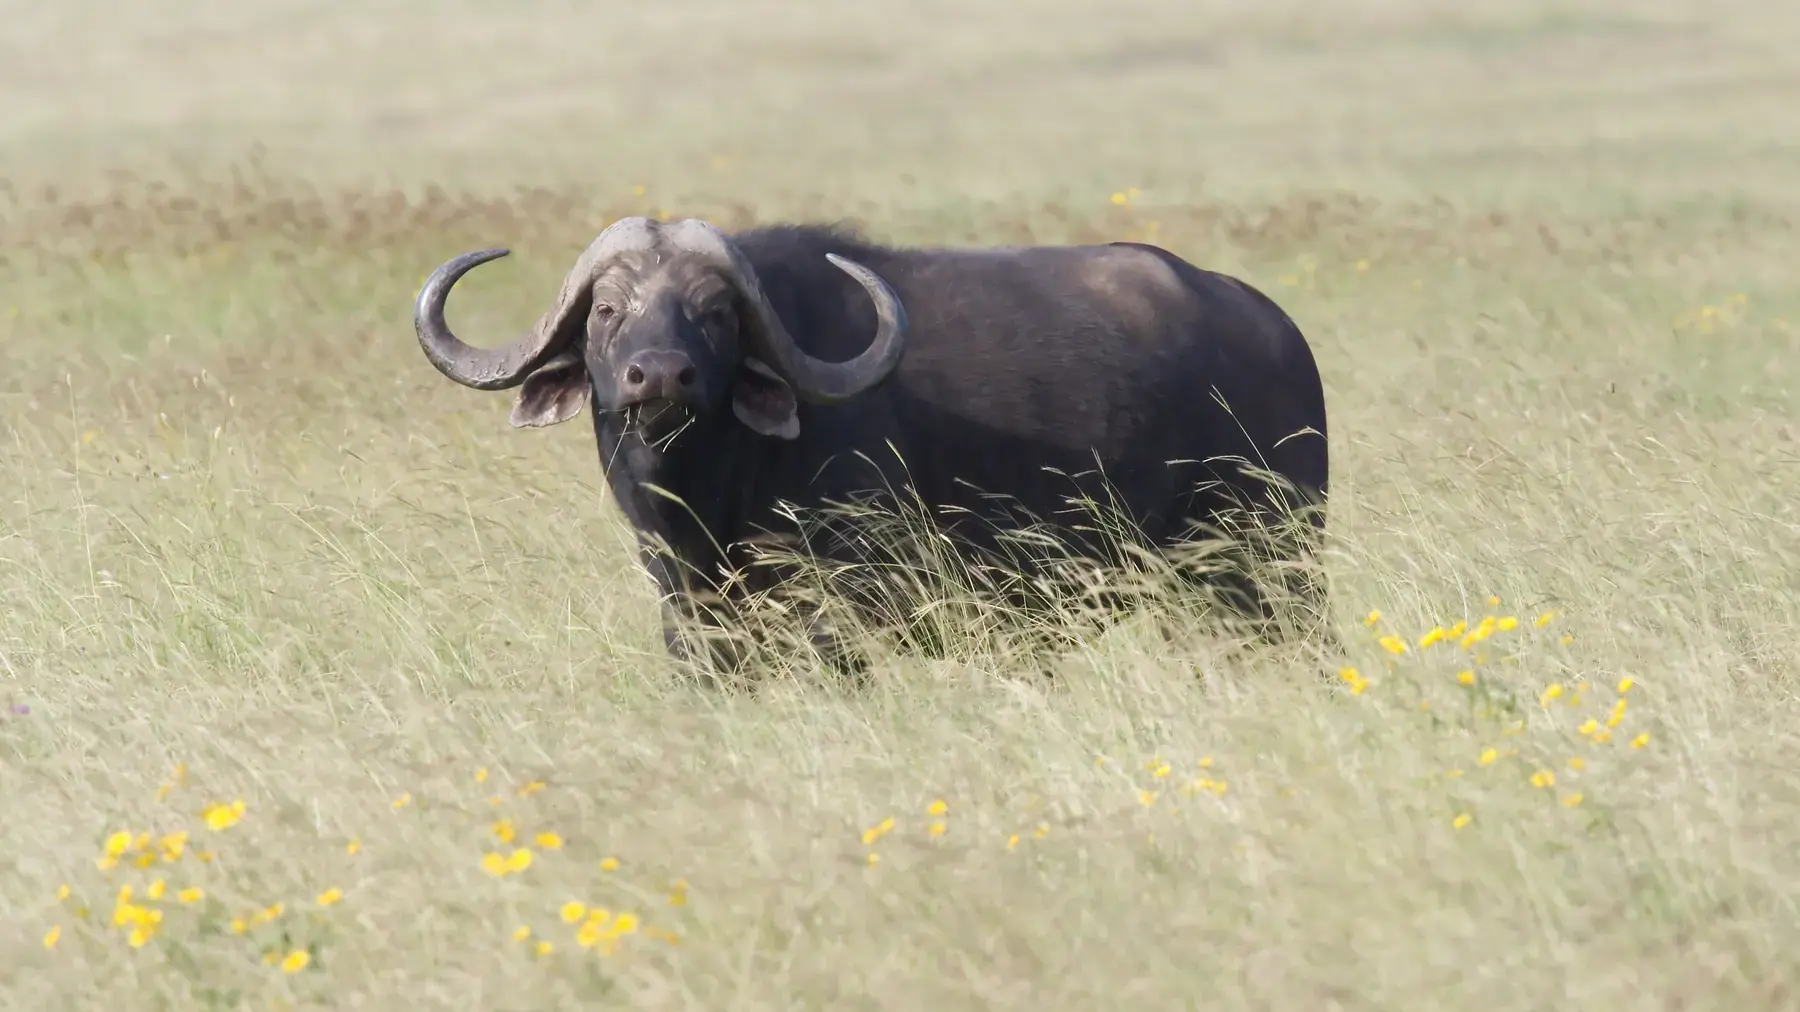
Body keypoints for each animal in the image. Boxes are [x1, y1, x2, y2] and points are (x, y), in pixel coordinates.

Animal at [413, 216, 1330, 676]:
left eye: (715, 312)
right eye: (606, 310)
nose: (659, 376)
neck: (709, 501)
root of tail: (1276, 330)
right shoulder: (696, 629)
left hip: (1275, 570)